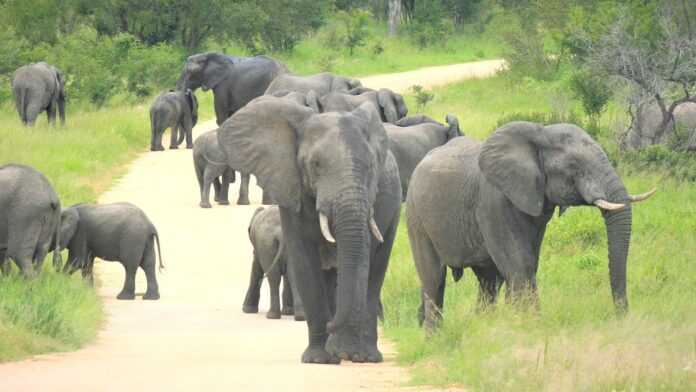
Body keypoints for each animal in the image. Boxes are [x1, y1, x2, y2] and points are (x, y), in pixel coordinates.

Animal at [218, 95, 402, 364]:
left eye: (370, 166)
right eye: (315, 165)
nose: (330, 326)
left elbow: (362, 261)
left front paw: (347, 353)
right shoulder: (291, 189)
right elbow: (305, 262)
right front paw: (319, 359)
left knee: (376, 269)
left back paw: (366, 356)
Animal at [406, 121, 656, 330]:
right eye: (574, 165)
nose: (620, 316)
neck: (540, 132)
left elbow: (528, 263)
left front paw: (519, 323)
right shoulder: (493, 202)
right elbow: (520, 263)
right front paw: (530, 326)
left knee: (488, 281)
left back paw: (482, 325)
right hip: (416, 216)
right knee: (434, 278)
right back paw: (434, 336)